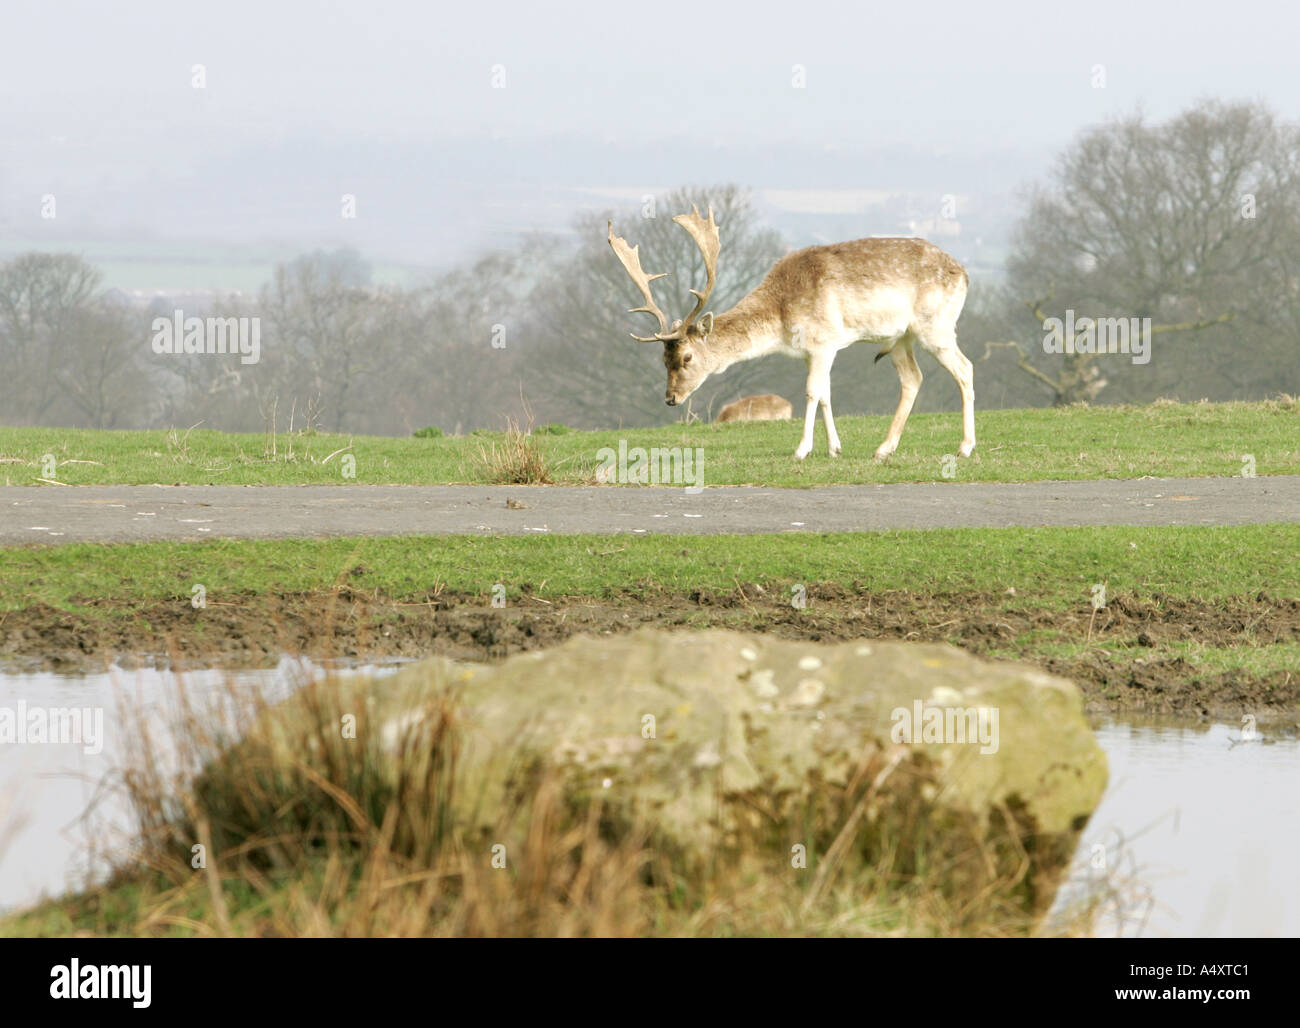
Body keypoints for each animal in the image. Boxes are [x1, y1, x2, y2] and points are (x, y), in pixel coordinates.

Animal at [608, 206, 977, 460]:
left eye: (686, 357)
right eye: (662, 359)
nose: (671, 398)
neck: (782, 315)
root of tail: (964, 273)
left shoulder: (824, 341)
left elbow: (812, 392)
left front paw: (801, 450)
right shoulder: (810, 352)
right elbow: (826, 393)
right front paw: (835, 449)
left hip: (936, 326)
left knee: (965, 368)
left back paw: (965, 448)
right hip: (900, 339)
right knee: (913, 378)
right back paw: (883, 449)